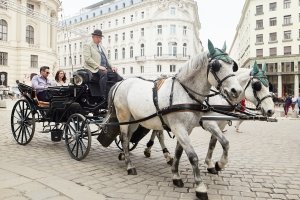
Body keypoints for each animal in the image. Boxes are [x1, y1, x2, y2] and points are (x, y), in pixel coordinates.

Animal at [108, 39, 244, 199]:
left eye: (232, 66)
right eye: (217, 66)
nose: (237, 91)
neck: (185, 93)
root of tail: (121, 83)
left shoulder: (187, 129)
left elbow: (182, 151)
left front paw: (177, 175)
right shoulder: (179, 127)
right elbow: (193, 156)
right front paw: (200, 186)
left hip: (134, 120)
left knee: (129, 138)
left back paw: (125, 156)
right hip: (123, 116)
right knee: (124, 139)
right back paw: (130, 166)